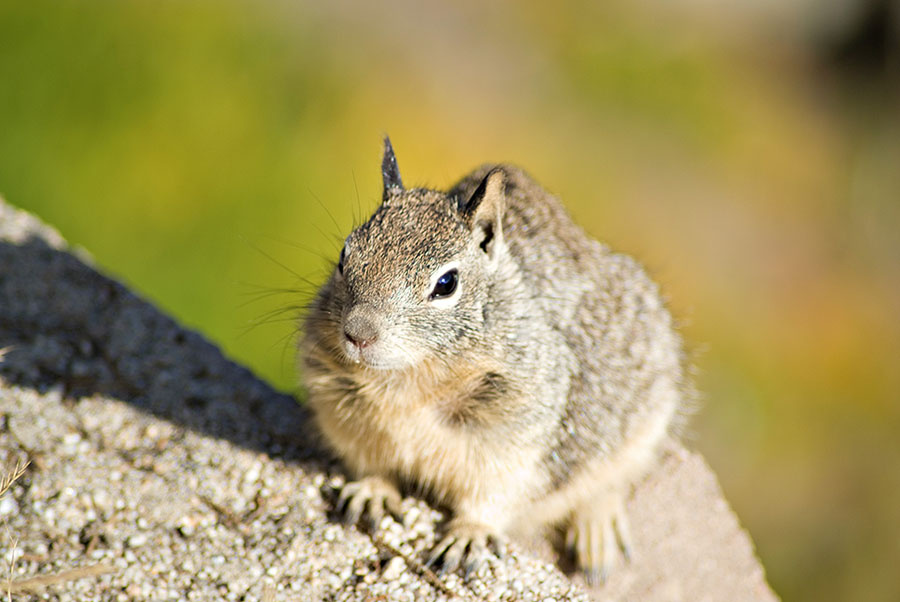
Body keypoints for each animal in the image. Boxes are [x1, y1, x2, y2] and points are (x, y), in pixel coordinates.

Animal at [300, 137, 690, 584]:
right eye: (344, 255)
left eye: (446, 283)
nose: (358, 334)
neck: (410, 377)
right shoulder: (345, 414)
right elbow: (371, 466)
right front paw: (372, 493)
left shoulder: (513, 439)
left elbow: (491, 495)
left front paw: (468, 536)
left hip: (643, 424)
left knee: (610, 480)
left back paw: (597, 531)